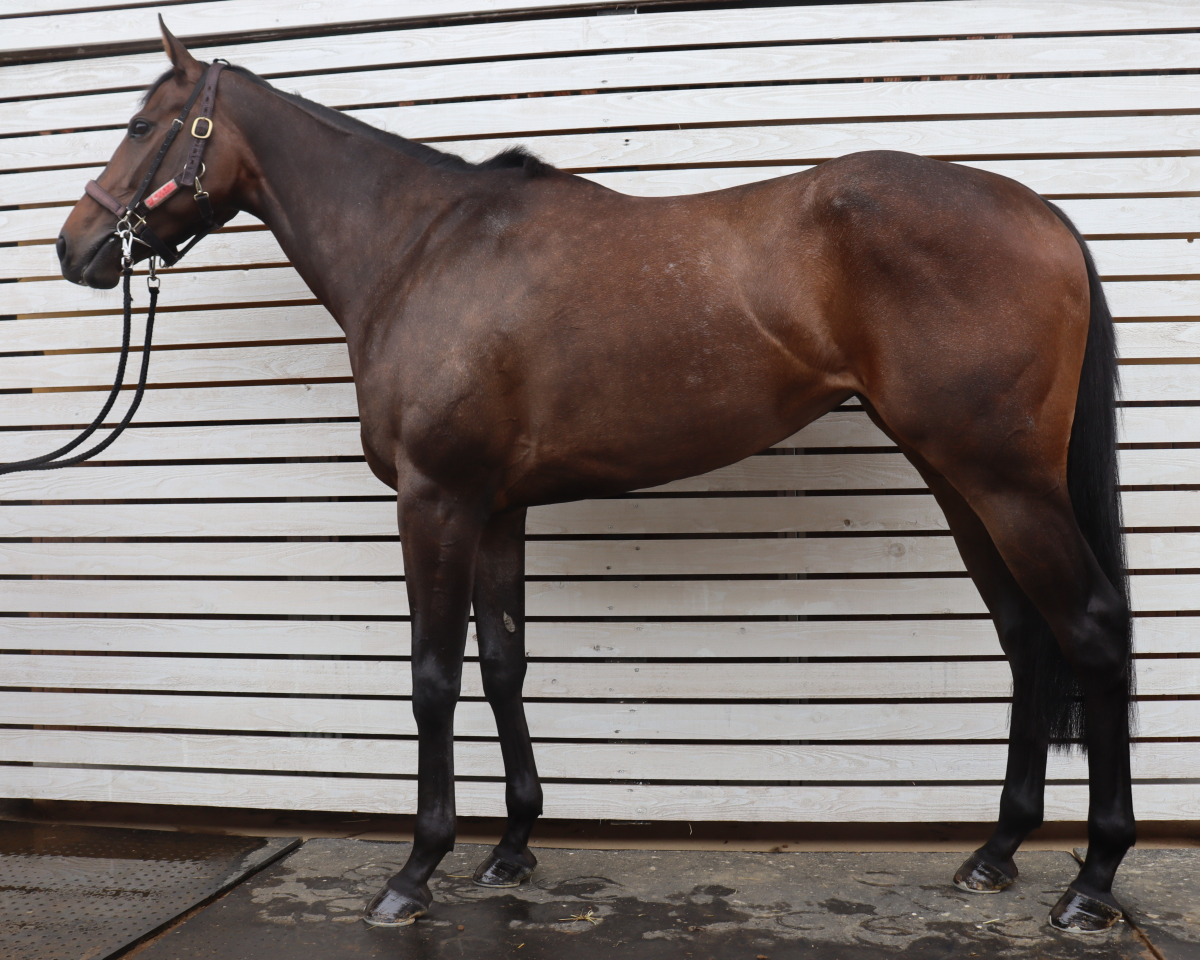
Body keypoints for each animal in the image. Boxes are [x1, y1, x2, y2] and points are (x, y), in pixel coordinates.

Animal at [56, 22, 1135, 933]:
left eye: (143, 125)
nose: (76, 249)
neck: (422, 252)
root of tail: (1043, 215)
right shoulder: (495, 509)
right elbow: (503, 665)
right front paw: (513, 846)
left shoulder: (435, 501)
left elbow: (434, 676)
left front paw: (416, 869)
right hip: (960, 480)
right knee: (1025, 636)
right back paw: (996, 852)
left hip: (1004, 482)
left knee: (1089, 627)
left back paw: (1091, 882)